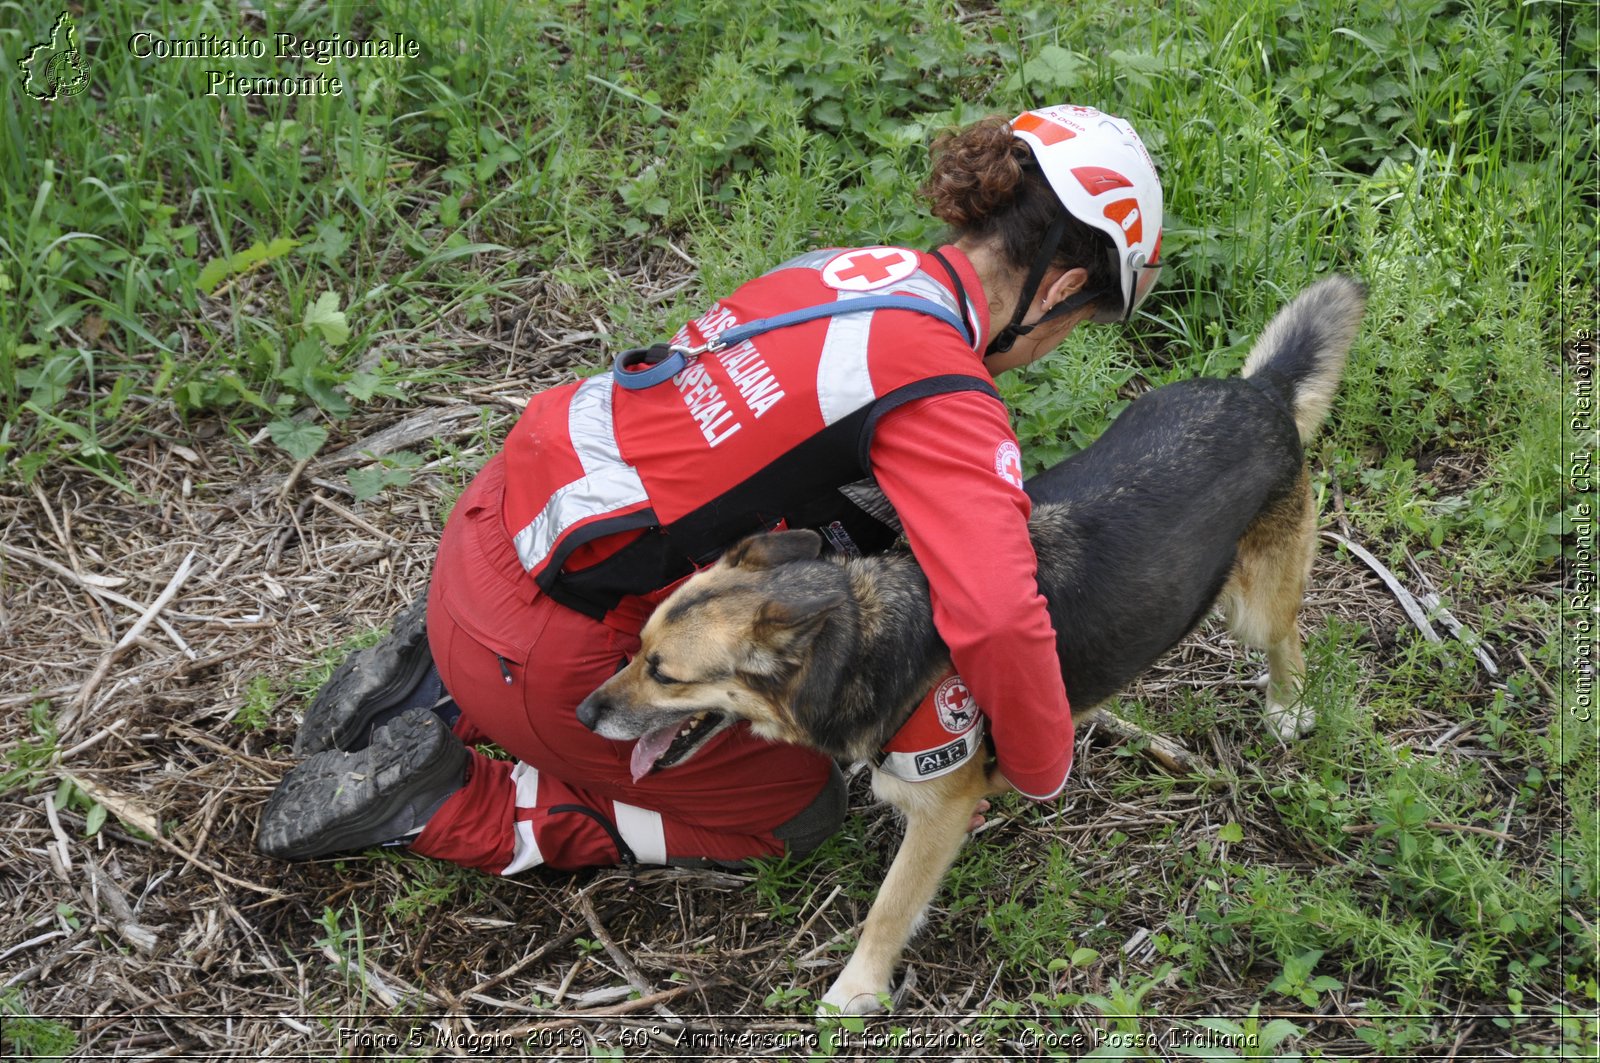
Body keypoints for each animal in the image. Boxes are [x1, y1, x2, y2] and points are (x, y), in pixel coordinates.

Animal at [576, 273, 1363, 1011]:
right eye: (636, 646)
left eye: (665, 673)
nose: (582, 714)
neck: (864, 637)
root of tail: (1259, 390)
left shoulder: (939, 812)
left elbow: (889, 907)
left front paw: (855, 990)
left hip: (1251, 606)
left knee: (1287, 635)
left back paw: (1288, 707)